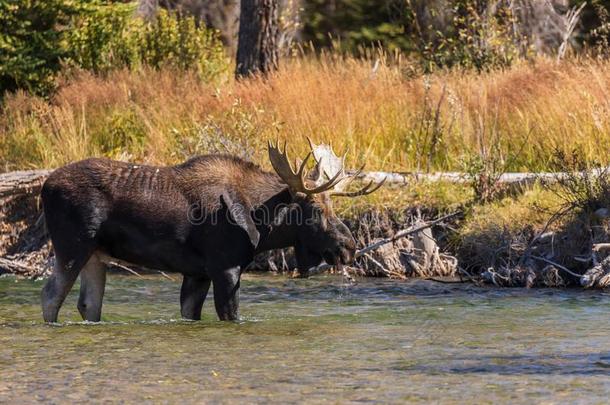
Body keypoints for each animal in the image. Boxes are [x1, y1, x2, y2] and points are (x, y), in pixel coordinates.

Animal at [40, 140, 382, 322]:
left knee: (88, 304)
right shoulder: (225, 268)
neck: (262, 224)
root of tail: (44, 187)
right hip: (72, 246)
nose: (349, 246)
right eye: (316, 210)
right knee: (50, 295)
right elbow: (230, 314)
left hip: (96, 256)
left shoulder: (197, 273)